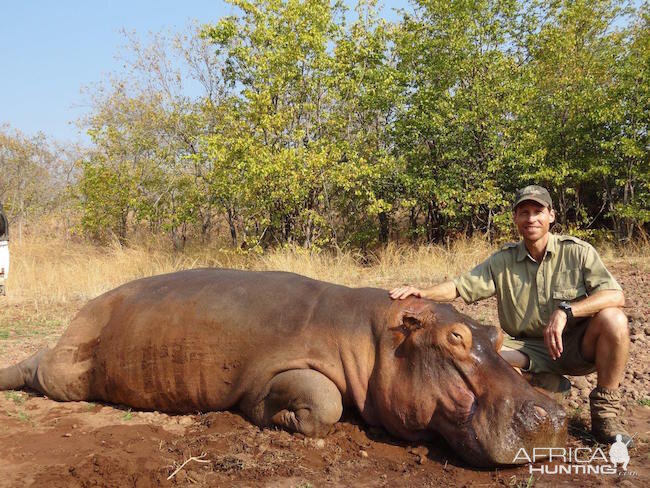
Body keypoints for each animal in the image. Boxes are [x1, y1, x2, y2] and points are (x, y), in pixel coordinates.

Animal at [0, 268, 560, 468]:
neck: (376, 336)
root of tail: (83, 311)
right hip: (71, 366)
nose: (550, 415)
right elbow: (324, 400)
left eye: (495, 335)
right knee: (40, 366)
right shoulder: (282, 366)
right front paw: (281, 418)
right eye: (455, 338)